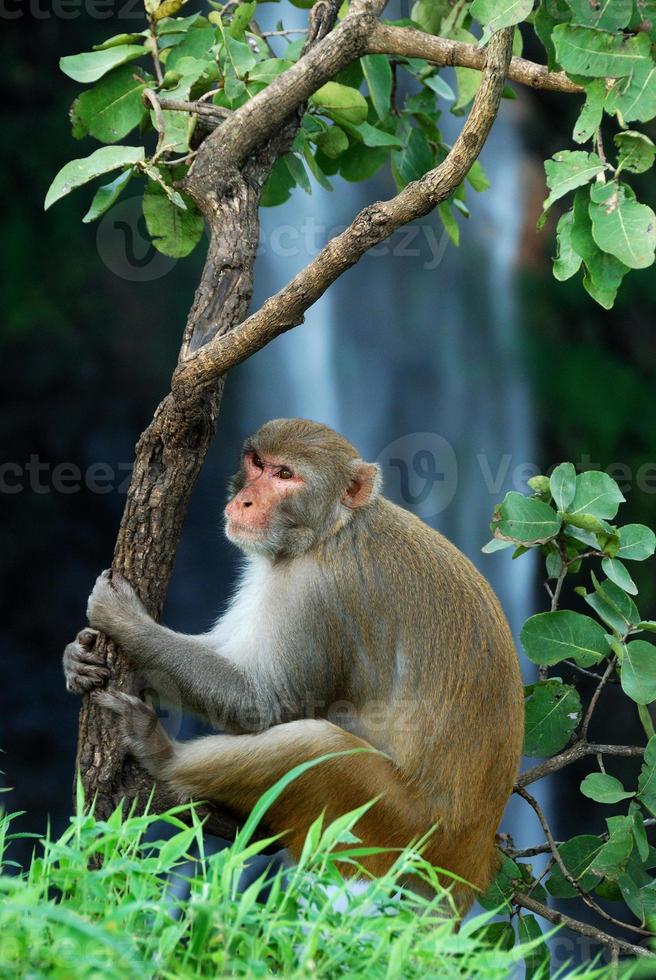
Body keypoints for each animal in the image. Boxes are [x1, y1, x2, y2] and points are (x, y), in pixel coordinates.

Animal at [64, 416, 524, 912]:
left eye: (286, 476)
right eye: (257, 463)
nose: (246, 499)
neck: (329, 530)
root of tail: (469, 861)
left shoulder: (317, 589)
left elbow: (264, 703)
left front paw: (126, 622)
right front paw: (77, 656)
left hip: (396, 825)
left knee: (315, 747)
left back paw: (163, 755)